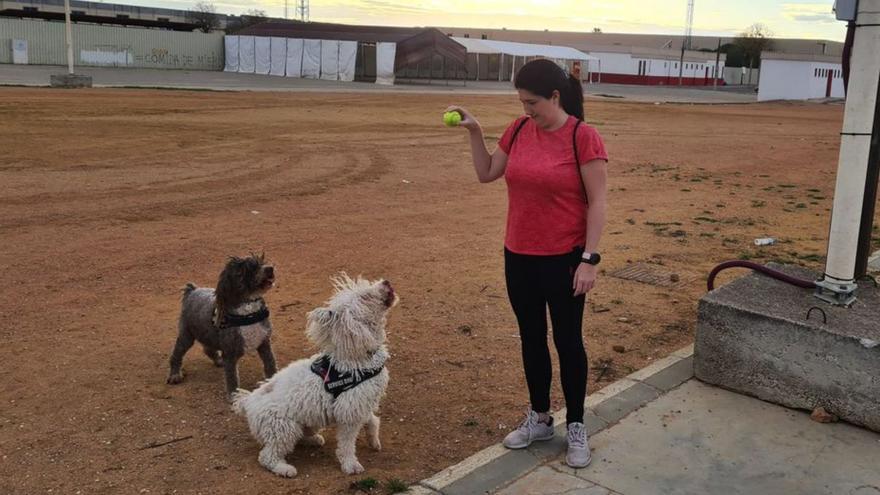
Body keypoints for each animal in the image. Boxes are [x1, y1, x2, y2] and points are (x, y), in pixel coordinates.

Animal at [234, 274, 398, 478]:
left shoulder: (359, 404)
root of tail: (248, 403)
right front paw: (350, 465)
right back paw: (284, 468)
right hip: (284, 427)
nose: (386, 282)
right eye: (365, 297)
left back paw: (313, 439)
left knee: (301, 436)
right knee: (267, 456)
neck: (355, 356)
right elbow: (346, 445)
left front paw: (373, 440)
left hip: (307, 420)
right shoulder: (349, 412)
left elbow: (371, 420)